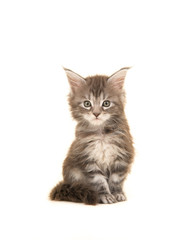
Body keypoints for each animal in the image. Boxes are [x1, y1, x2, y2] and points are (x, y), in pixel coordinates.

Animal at [50, 67, 134, 204]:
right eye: (87, 104)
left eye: (106, 103)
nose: (96, 113)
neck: (101, 134)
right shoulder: (88, 159)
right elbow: (99, 181)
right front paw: (105, 196)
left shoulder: (122, 155)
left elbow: (116, 180)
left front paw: (117, 193)